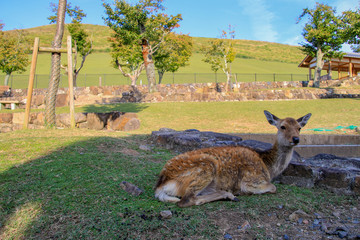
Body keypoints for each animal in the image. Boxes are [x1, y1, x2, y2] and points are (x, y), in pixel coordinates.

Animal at [155, 110, 312, 206]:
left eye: (299, 128)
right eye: (283, 126)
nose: (296, 139)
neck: (268, 166)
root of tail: (161, 185)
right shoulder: (251, 179)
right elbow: (273, 187)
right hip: (206, 167)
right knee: (186, 200)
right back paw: (230, 195)